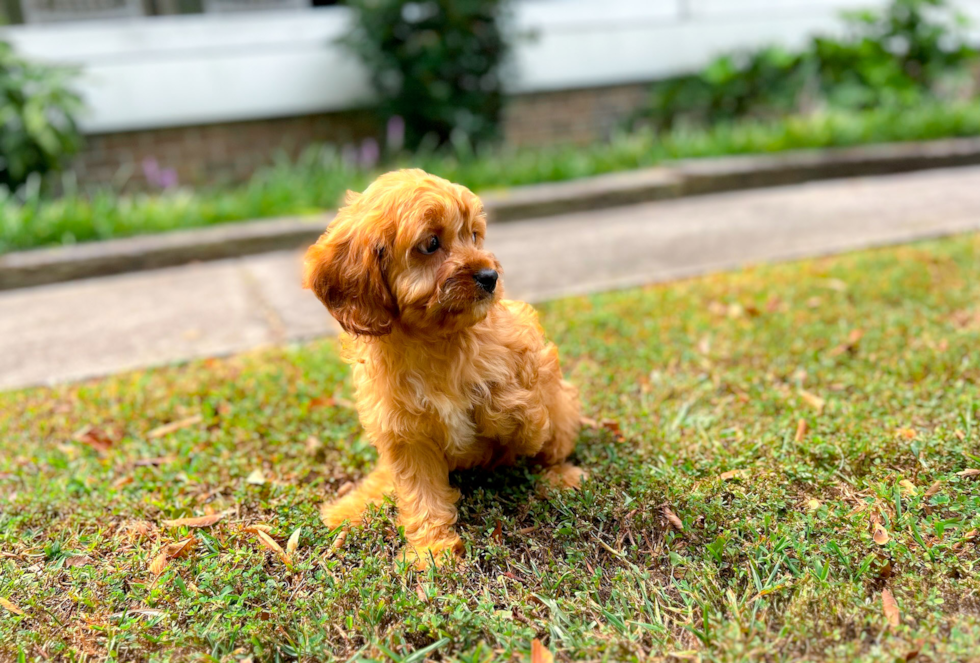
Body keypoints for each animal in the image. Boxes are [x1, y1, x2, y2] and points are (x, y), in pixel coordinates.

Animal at [302, 169, 584, 568]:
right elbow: (421, 492)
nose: (490, 277)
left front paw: (495, 401)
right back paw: (352, 506)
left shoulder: (531, 356)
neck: (432, 339)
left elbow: (521, 412)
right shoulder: (405, 434)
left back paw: (561, 478)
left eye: (474, 235)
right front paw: (431, 549)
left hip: (566, 408)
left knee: (550, 449)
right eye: (432, 243)